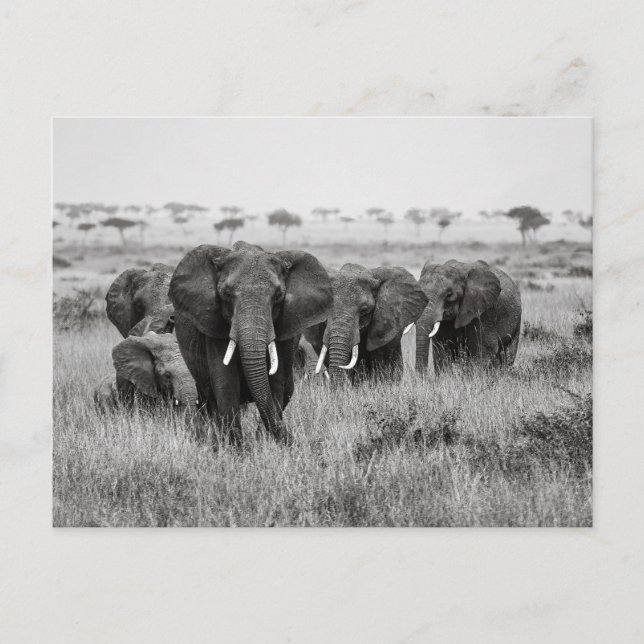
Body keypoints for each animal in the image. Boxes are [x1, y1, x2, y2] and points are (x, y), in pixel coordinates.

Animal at [168, 241, 333, 444]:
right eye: (226, 294)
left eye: (278, 296)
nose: (294, 441)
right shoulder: (215, 327)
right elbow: (226, 382)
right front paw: (238, 448)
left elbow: (275, 384)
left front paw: (263, 443)